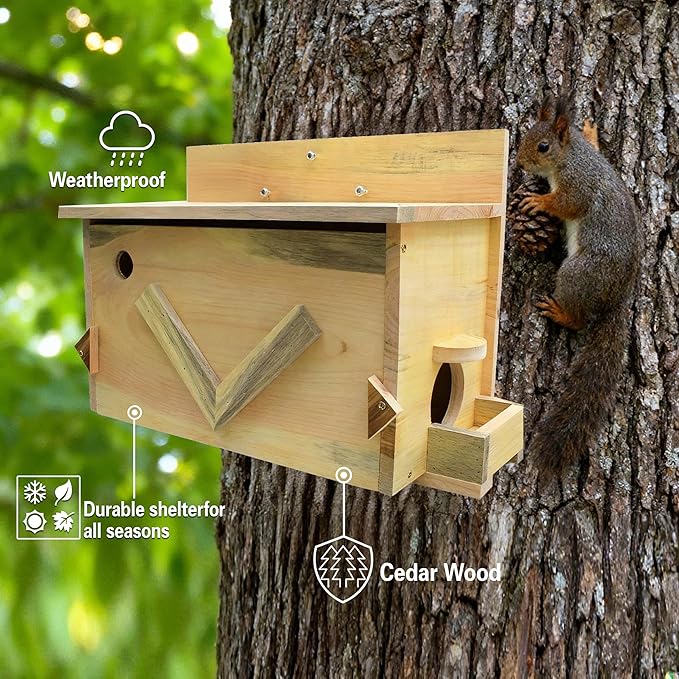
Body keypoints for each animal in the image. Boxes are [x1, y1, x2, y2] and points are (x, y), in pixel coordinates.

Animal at [516, 93, 641, 477]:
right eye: (526, 133)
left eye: (543, 146)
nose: (520, 161)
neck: (572, 154)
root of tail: (617, 299)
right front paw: (590, 129)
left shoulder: (579, 183)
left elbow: (568, 203)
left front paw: (538, 201)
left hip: (577, 273)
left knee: (580, 319)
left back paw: (560, 312)